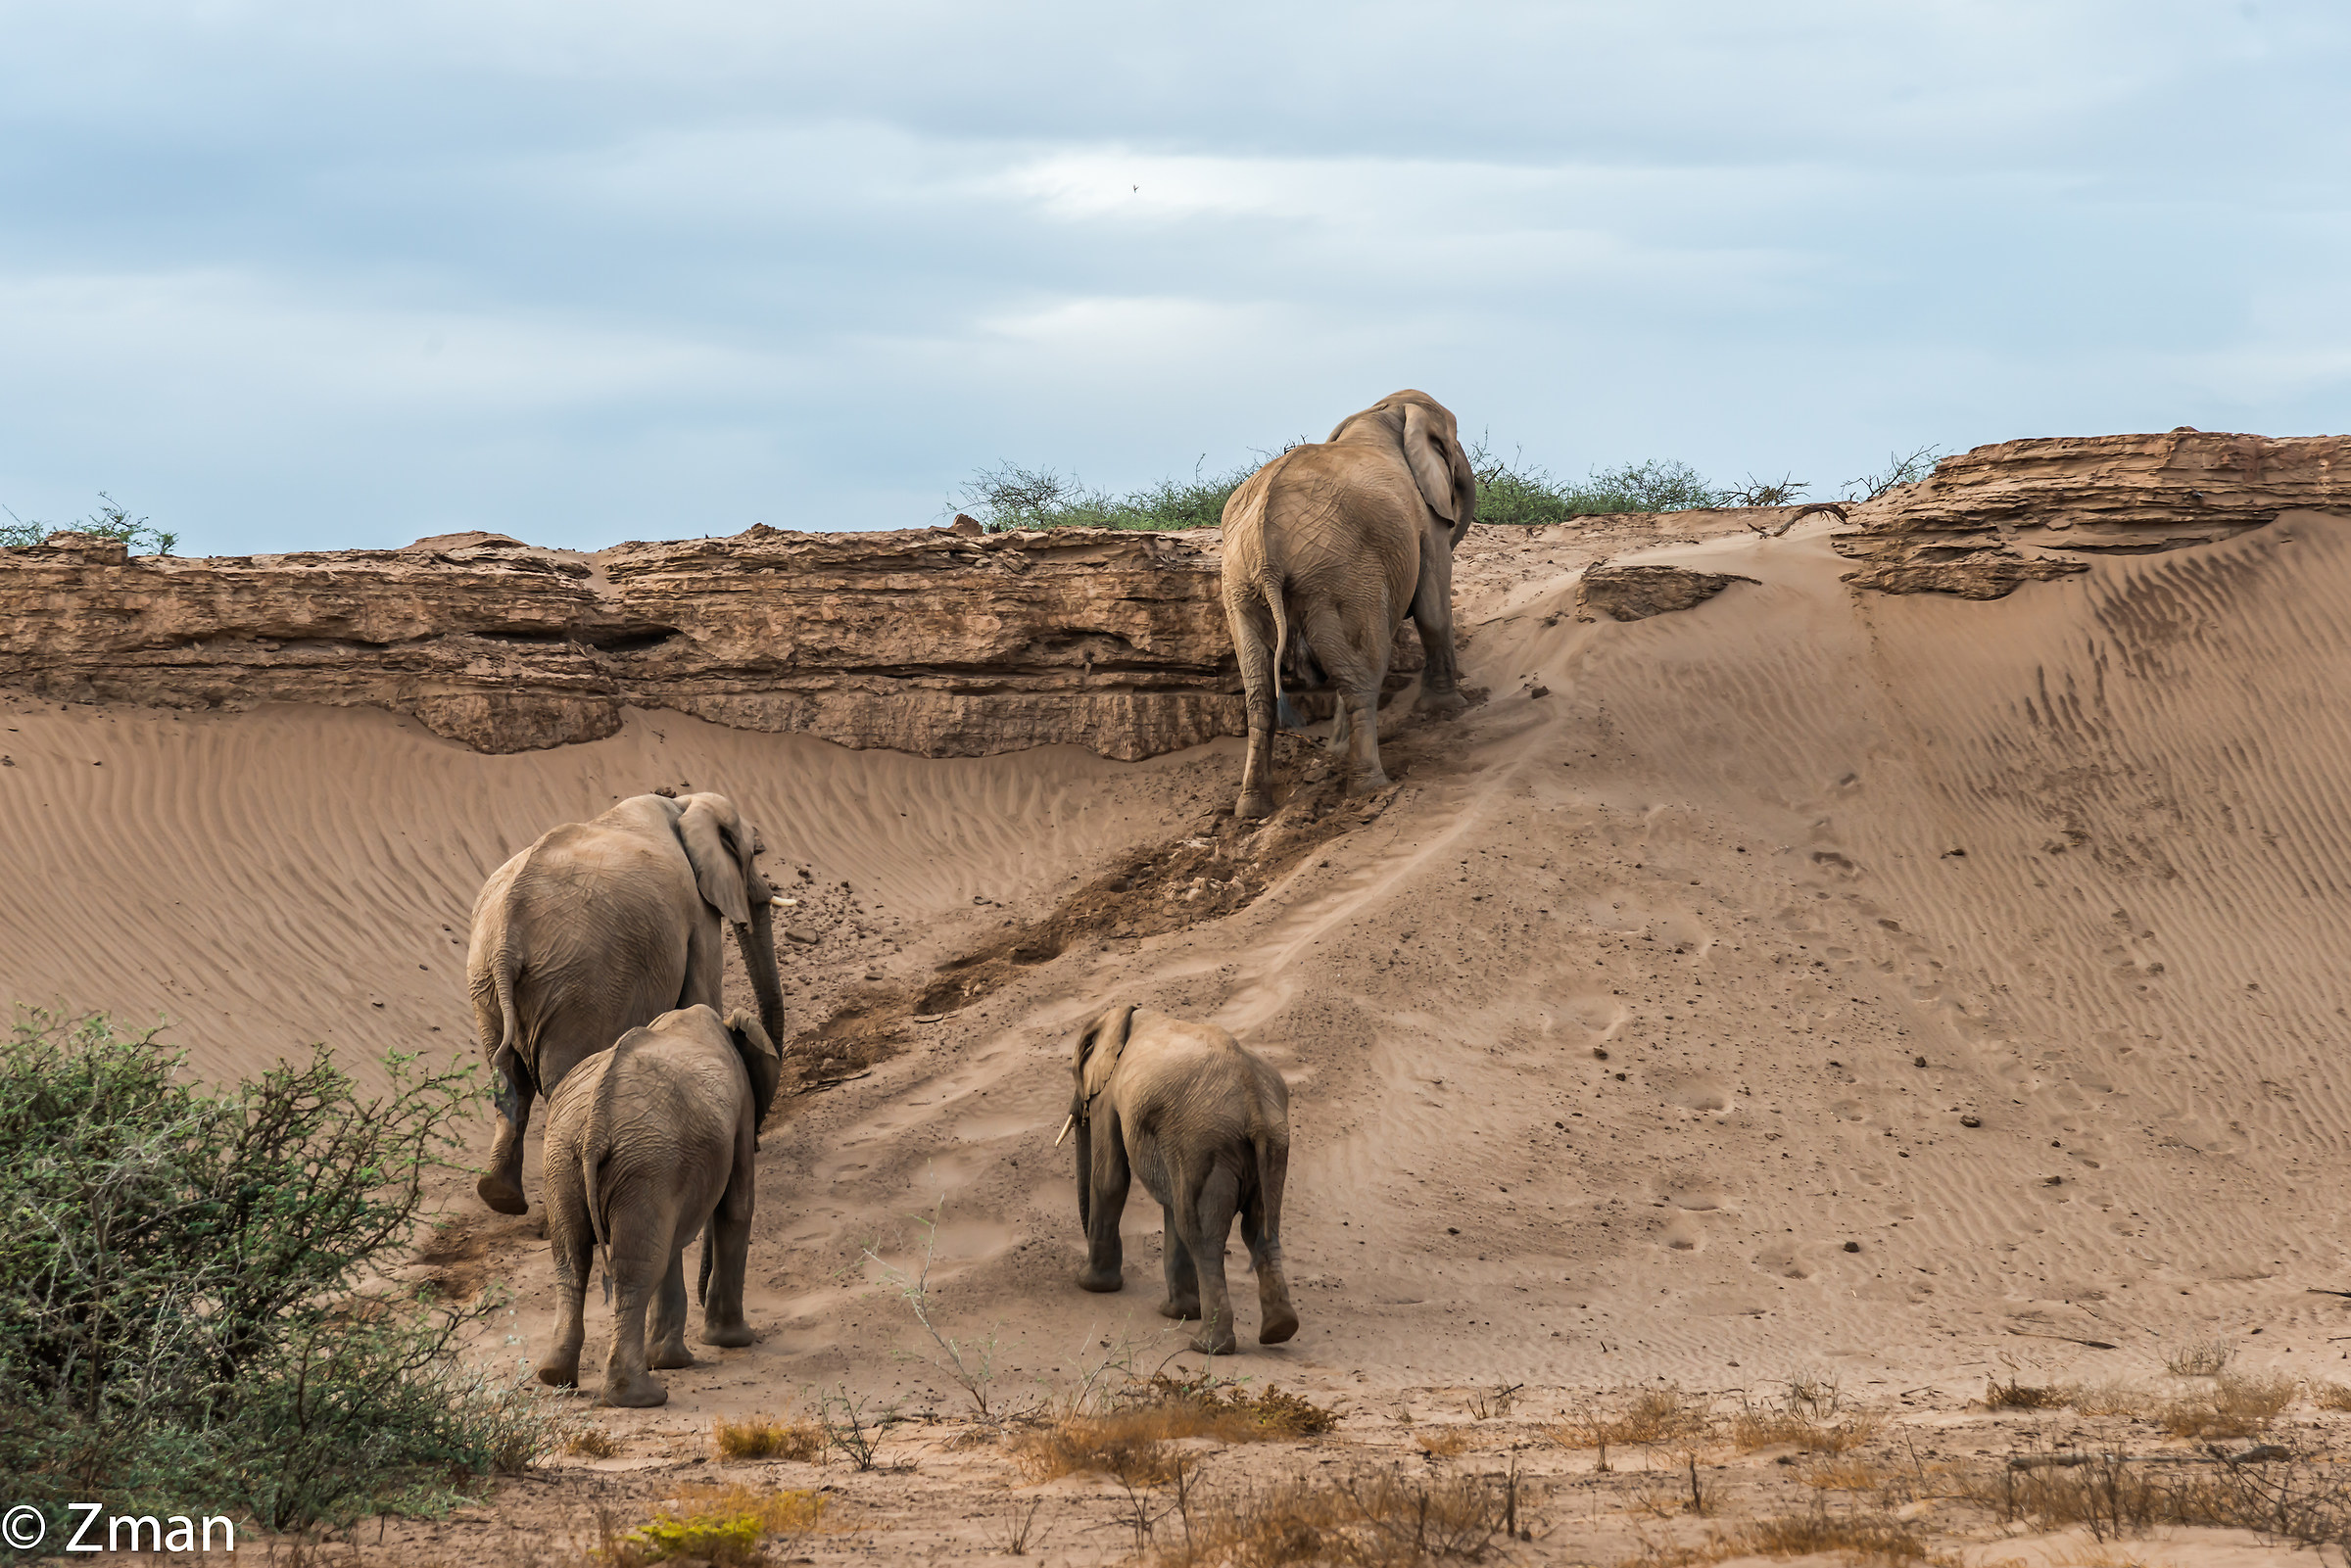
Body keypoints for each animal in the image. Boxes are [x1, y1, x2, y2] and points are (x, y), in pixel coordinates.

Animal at [466, 791, 786, 1216]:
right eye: (755, 851)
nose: (760, 1136)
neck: (683, 805)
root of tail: (506, 943)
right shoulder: (696, 912)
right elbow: (700, 996)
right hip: (577, 990)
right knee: (558, 1076)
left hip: (487, 986)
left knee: (508, 1077)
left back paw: (502, 1198)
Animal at [534, 1004, 782, 1407]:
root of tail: (595, 1127)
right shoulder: (742, 1111)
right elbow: (737, 1206)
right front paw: (733, 1342)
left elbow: (672, 1240)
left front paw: (671, 1361)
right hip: (641, 1161)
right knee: (635, 1269)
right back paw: (642, 1397)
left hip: (567, 1159)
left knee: (572, 1258)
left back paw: (556, 1378)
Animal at [1061, 1003, 1298, 1354]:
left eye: (1075, 1067)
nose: (1079, 1108)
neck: (1129, 1013)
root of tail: (1253, 1100)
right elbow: (1171, 1201)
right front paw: (1178, 1313)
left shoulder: (1110, 1096)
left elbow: (1110, 1179)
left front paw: (1092, 1286)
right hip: (1272, 1146)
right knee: (1259, 1228)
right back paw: (1278, 1330)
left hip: (1205, 1144)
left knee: (1203, 1236)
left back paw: (1207, 1346)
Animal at [1219, 389, 1477, 818]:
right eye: (1452, 443)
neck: (1380, 413)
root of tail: (1265, 552)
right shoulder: (1425, 522)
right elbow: (1432, 609)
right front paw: (1449, 709)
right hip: (1340, 577)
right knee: (1362, 676)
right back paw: (1370, 786)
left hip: (1244, 588)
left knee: (1260, 691)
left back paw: (1252, 807)